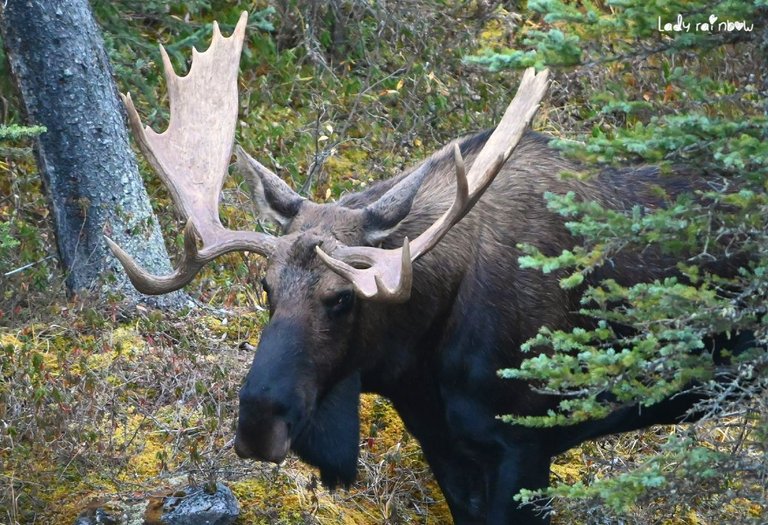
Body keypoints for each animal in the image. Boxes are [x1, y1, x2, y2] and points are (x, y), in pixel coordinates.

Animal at [105, 12, 748, 524]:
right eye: (266, 289)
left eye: (343, 297)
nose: (258, 423)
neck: (419, 358)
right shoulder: (444, 447)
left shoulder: (525, 445)